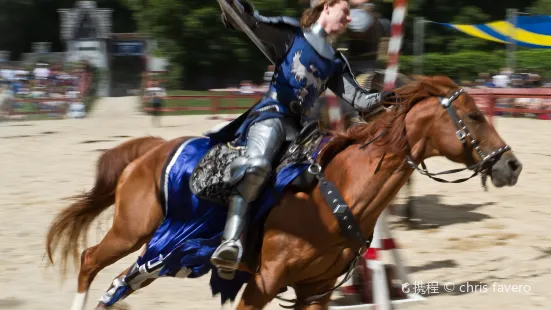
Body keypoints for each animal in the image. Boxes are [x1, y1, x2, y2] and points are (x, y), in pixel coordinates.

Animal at [47, 75, 520, 310]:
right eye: (475, 116)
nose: (511, 165)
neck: (332, 199)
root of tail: (150, 149)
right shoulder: (262, 284)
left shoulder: (316, 292)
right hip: (133, 233)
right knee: (90, 262)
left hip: (157, 252)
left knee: (117, 283)